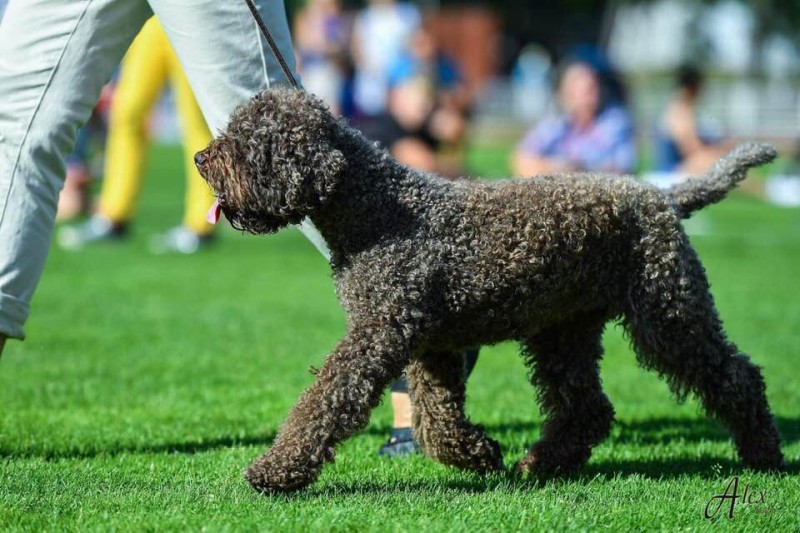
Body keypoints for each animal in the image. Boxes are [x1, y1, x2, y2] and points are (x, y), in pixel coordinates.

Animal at [197, 89, 784, 492]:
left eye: (251, 143)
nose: (202, 159)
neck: (379, 210)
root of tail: (661, 195)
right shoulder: (428, 344)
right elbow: (435, 417)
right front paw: (478, 453)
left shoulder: (376, 336)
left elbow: (325, 401)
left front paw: (275, 470)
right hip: (564, 333)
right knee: (587, 408)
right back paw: (539, 464)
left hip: (667, 312)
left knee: (737, 375)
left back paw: (765, 454)